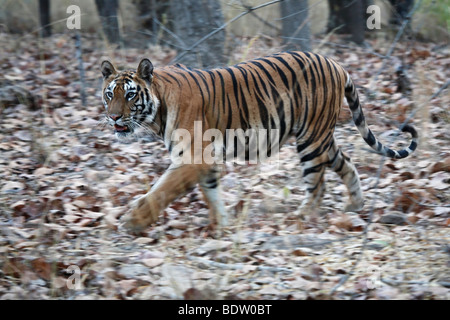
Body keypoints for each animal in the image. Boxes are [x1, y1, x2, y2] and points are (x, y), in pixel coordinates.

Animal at [98, 51, 418, 234]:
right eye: (109, 94)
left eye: (130, 95)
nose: (113, 118)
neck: (157, 112)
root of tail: (337, 64)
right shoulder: (206, 159)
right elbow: (211, 193)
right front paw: (223, 225)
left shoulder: (192, 157)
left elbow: (160, 192)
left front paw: (132, 222)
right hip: (321, 137)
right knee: (345, 162)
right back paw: (355, 203)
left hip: (311, 139)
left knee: (317, 184)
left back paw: (302, 216)